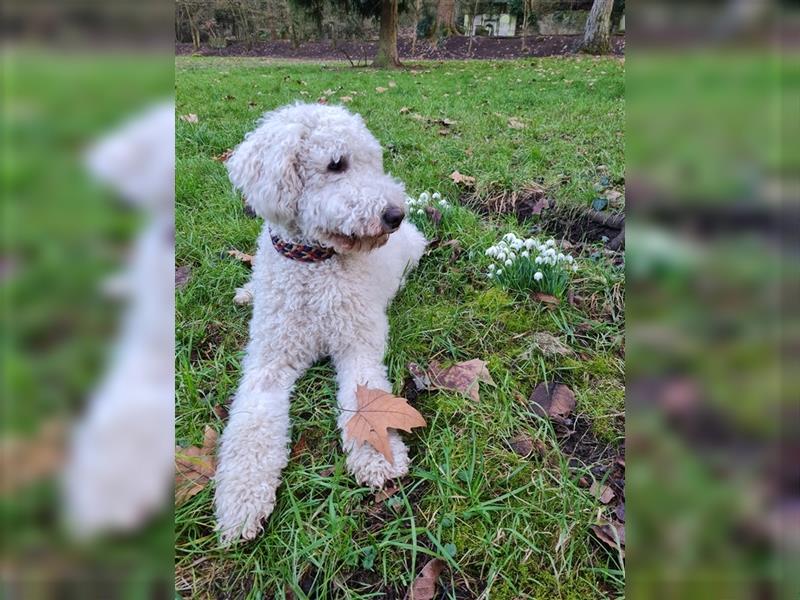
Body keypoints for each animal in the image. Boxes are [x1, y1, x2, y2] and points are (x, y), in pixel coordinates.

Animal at [211, 101, 424, 540]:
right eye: (336, 164)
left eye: (373, 162)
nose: (394, 214)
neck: (312, 264)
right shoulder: (268, 363)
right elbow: (251, 427)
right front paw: (240, 501)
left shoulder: (358, 346)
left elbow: (366, 402)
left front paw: (380, 459)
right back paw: (248, 292)